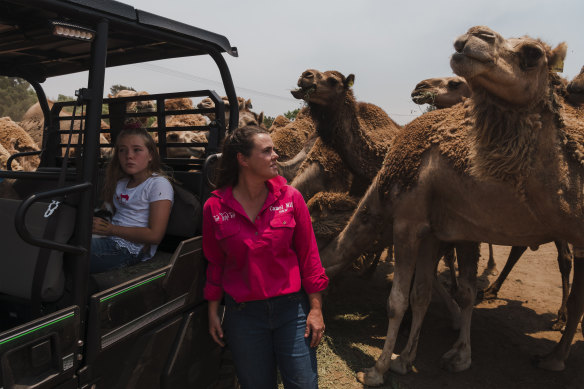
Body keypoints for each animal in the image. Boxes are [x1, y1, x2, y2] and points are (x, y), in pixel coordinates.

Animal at [320, 25, 584, 384]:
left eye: (532, 53)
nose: (474, 36)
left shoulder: (409, 220)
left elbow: (400, 300)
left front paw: (378, 370)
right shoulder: (435, 231)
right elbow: (422, 294)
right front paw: (406, 359)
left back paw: (554, 352)